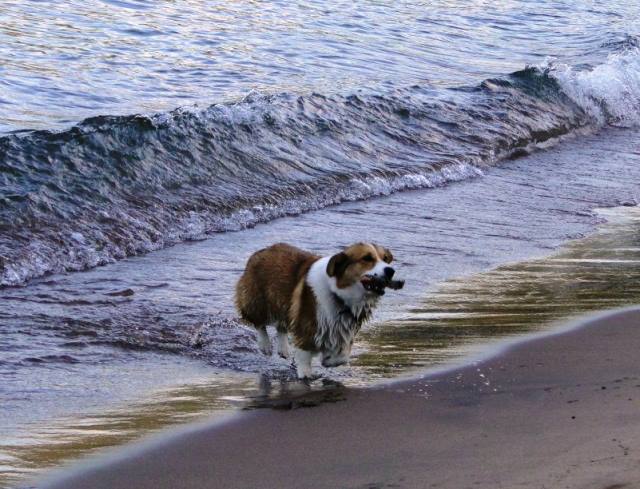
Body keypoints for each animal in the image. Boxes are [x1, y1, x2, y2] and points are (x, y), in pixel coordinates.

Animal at [235, 241, 404, 378]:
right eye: (367, 258)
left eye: (385, 259)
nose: (390, 271)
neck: (338, 294)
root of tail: (262, 251)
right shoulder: (306, 324)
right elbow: (304, 356)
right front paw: (305, 374)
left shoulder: (343, 330)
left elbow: (342, 356)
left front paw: (328, 359)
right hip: (257, 301)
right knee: (258, 322)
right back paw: (265, 346)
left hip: (284, 304)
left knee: (281, 326)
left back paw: (283, 349)